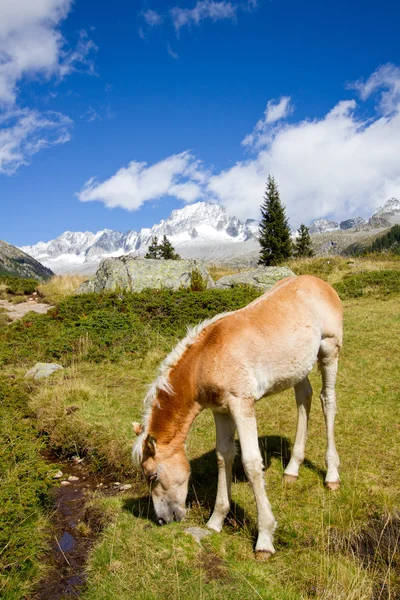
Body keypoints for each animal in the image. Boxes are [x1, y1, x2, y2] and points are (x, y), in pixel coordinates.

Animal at [132, 276, 344, 556]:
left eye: (152, 475)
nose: (162, 520)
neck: (207, 358)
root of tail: (321, 283)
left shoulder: (242, 405)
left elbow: (252, 463)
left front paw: (264, 538)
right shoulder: (221, 411)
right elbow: (224, 457)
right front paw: (215, 521)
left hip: (329, 350)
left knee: (327, 401)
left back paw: (332, 475)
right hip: (298, 367)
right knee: (303, 398)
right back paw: (292, 469)